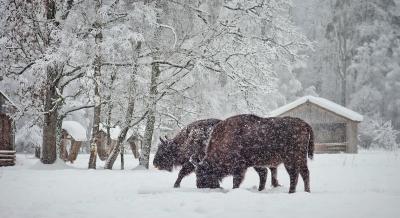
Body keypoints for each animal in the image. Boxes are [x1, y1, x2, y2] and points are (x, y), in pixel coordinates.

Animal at [152, 118, 280, 190]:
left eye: (163, 150)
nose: (154, 163)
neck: (187, 140)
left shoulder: (192, 162)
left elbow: (182, 173)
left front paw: (176, 185)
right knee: (266, 171)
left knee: (266, 171)